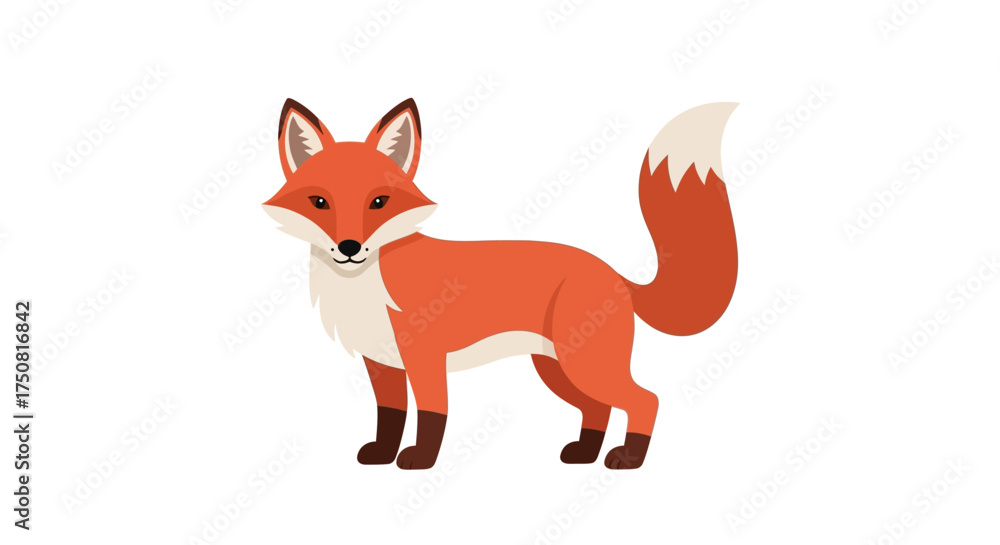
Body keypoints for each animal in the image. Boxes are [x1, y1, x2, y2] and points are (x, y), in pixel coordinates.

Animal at [263, 98, 738, 470]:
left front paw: (420, 460)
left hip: (585, 366)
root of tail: (612, 273)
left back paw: (629, 459)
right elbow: (390, 416)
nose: (349, 246)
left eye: (379, 202)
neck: (364, 286)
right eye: (319, 202)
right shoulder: (382, 364)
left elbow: (433, 415)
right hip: (558, 368)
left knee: (645, 400)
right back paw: (585, 453)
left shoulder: (426, 359)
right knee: (599, 409)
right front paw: (382, 454)